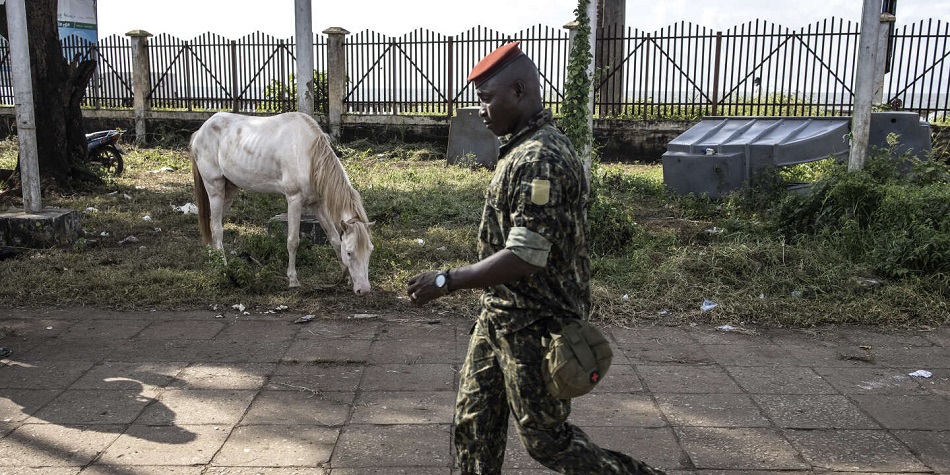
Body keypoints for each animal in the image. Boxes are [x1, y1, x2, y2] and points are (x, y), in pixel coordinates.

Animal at [191, 113, 376, 296]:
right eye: (350, 252)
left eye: (370, 250)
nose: (364, 289)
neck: (309, 156)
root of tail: (200, 132)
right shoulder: (294, 200)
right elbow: (293, 241)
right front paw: (293, 280)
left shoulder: (318, 204)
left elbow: (334, 239)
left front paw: (346, 277)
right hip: (214, 188)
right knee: (217, 229)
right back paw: (224, 269)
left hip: (229, 190)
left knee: (212, 225)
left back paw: (214, 262)